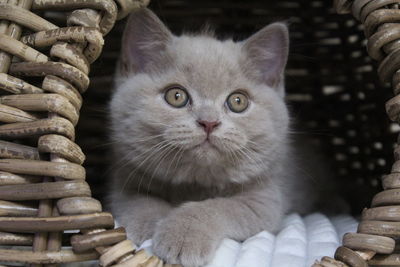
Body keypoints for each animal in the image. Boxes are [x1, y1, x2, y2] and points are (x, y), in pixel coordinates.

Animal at [108, 7, 322, 267]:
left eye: (238, 101)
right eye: (176, 96)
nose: (209, 122)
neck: (195, 182)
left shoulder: (265, 199)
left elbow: (221, 207)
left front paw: (182, 233)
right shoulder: (123, 183)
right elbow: (139, 202)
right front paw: (149, 226)